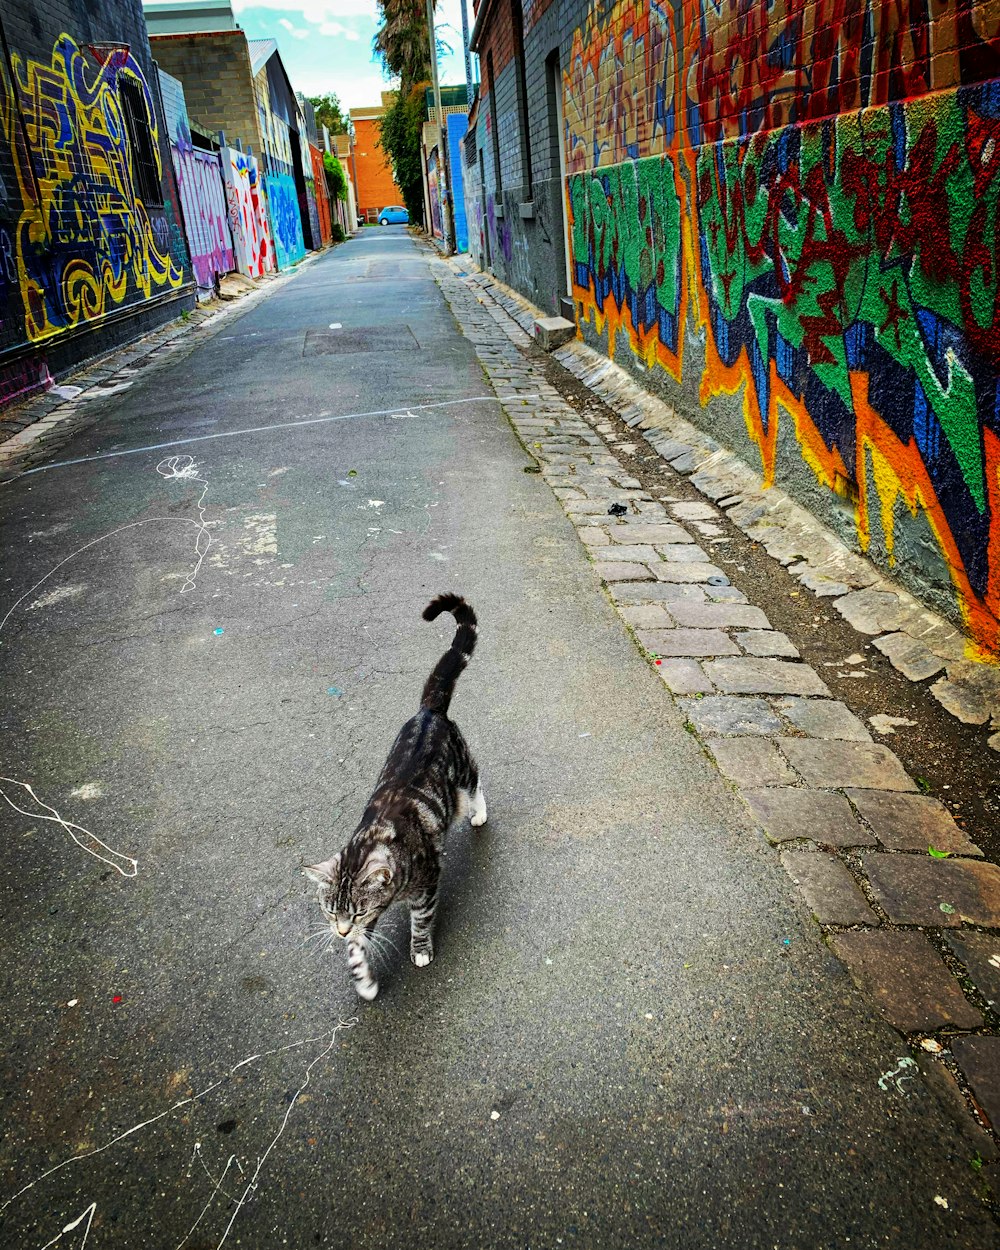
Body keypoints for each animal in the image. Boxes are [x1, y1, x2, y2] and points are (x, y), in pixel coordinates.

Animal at [306, 590, 487, 1000]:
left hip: (461, 769)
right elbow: (358, 946)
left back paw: (479, 812)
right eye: (331, 911)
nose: (338, 930)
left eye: (355, 911)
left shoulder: (426, 886)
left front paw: (419, 950)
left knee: (476, 780)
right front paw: (363, 976)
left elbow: (421, 921)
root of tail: (428, 710)